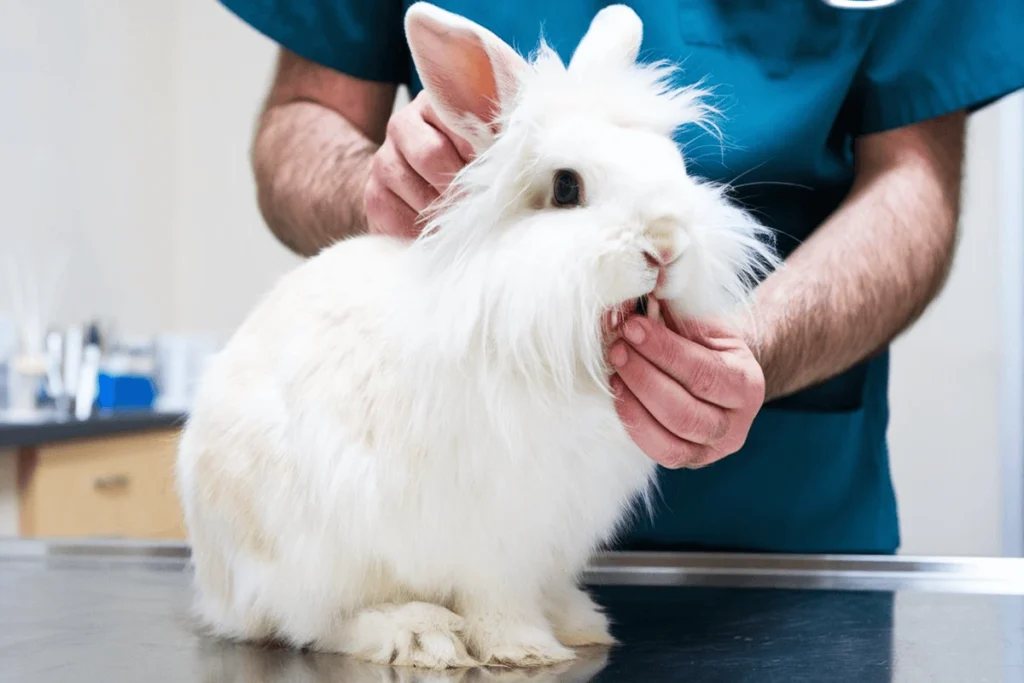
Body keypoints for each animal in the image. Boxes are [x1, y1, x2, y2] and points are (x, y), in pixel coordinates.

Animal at [178, 0, 774, 671]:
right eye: (566, 187)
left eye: (672, 165)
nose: (667, 246)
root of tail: (216, 585)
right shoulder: (495, 533)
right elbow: (497, 599)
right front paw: (525, 648)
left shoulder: (555, 529)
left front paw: (574, 626)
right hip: (313, 557)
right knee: (316, 622)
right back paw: (420, 635)